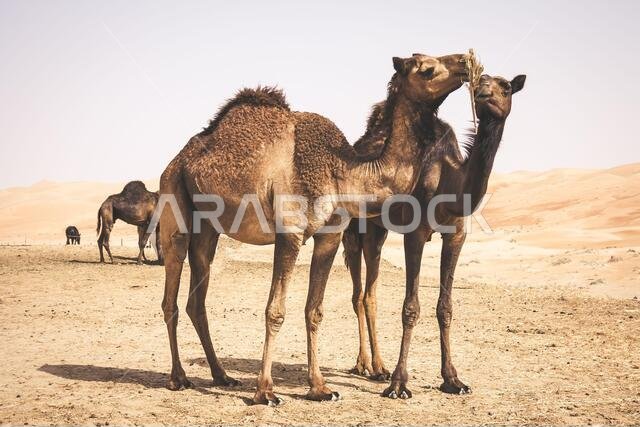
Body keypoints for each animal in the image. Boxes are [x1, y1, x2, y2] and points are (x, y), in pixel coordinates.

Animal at [158, 53, 470, 405]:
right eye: (427, 68)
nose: (465, 62)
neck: (343, 172)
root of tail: (179, 160)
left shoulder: (330, 236)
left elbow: (314, 310)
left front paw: (320, 387)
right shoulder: (290, 233)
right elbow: (275, 311)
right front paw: (265, 392)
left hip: (208, 228)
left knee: (196, 300)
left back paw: (221, 375)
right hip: (174, 203)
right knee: (170, 294)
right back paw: (178, 377)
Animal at [342, 73, 526, 398]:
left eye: (505, 87)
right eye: (481, 80)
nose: (483, 91)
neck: (449, 181)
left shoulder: (456, 235)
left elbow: (445, 307)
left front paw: (453, 379)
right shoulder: (415, 233)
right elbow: (410, 307)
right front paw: (399, 384)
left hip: (378, 230)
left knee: (369, 293)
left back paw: (378, 367)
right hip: (356, 228)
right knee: (357, 294)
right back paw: (364, 364)